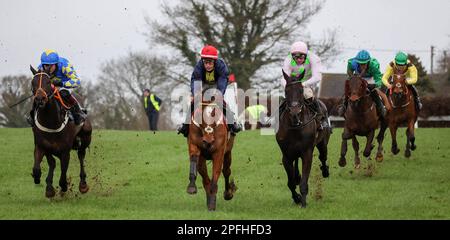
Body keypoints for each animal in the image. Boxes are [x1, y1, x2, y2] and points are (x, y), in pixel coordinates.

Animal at [29, 65, 92, 197]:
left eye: (48, 82)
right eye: (33, 82)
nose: (40, 99)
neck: (51, 122)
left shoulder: (65, 150)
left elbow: (63, 170)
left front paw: (63, 186)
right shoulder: (42, 146)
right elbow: (40, 167)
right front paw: (47, 186)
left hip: (85, 138)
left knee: (81, 156)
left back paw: (83, 185)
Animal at [274, 71, 330, 208]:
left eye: (300, 90)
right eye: (286, 90)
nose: (294, 111)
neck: (295, 125)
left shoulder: (307, 153)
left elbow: (304, 181)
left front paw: (303, 202)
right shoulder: (286, 156)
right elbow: (290, 182)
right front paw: (297, 198)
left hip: (323, 143)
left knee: (323, 157)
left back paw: (325, 171)